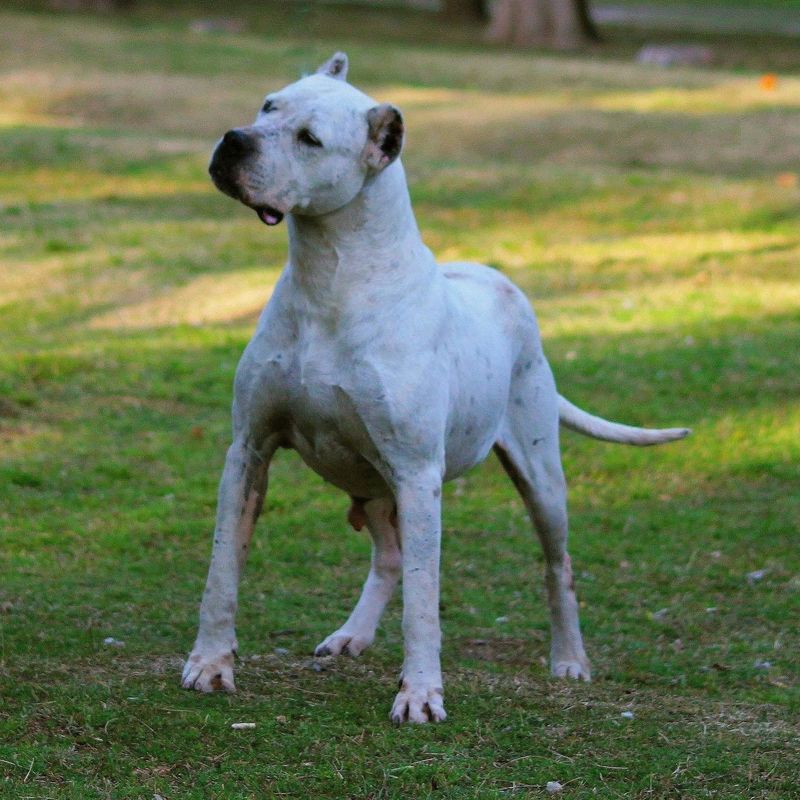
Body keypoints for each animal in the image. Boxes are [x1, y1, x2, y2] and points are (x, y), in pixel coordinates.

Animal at [181, 53, 688, 720]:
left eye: (310, 139)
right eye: (268, 105)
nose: (233, 140)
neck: (331, 278)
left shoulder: (419, 475)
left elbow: (425, 600)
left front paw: (420, 694)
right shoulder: (248, 452)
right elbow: (221, 568)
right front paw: (210, 663)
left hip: (540, 479)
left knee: (558, 567)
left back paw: (570, 660)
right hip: (373, 484)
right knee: (389, 555)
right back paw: (352, 634)